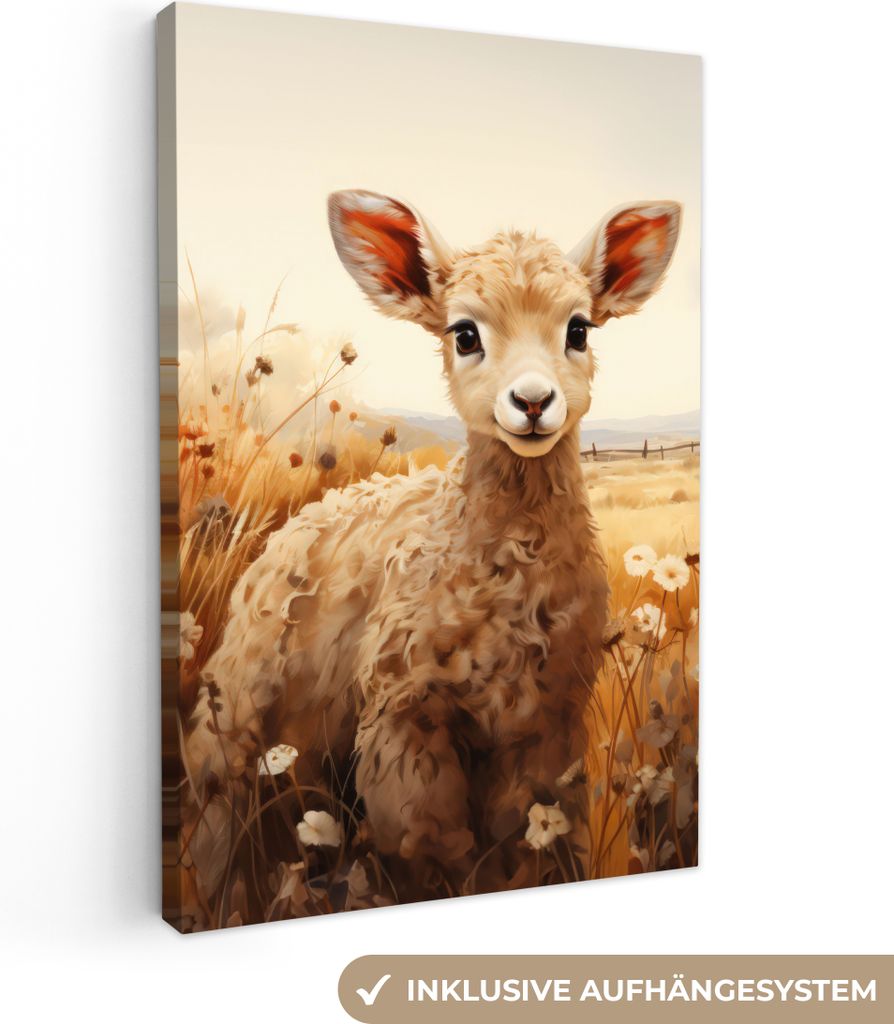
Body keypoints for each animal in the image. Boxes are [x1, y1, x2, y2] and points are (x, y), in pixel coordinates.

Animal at [186, 190, 681, 894]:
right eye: (464, 334)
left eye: (579, 330)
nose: (533, 402)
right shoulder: (406, 716)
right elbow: (429, 845)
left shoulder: (546, 729)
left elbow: (528, 844)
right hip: (240, 716)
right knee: (221, 814)